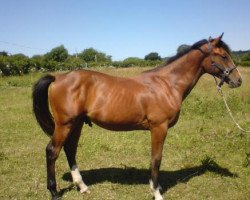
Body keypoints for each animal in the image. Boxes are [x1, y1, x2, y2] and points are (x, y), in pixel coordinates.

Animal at [33, 34, 242, 200]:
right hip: (64, 124)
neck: (167, 84)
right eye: (224, 56)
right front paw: (156, 192)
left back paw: (83, 187)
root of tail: (58, 78)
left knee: (70, 149)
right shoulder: (159, 127)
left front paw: (153, 187)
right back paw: (54, 192)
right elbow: (156, 159)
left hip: (76, 124)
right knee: (52, 151)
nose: (238, 80)